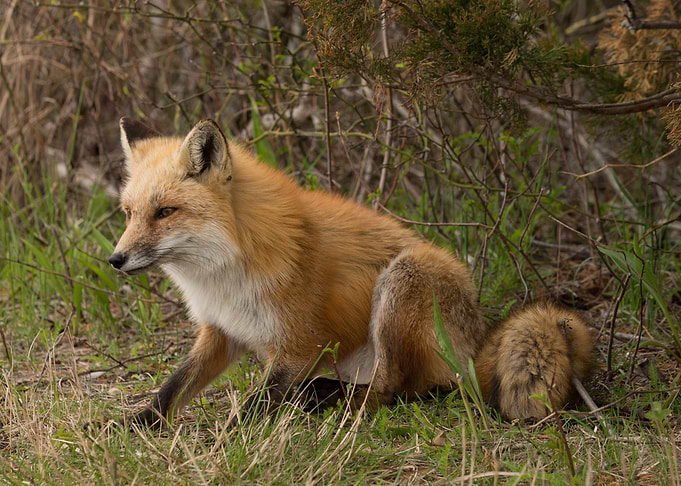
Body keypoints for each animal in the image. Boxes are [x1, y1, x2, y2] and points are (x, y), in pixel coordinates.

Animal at [109, 117, 593, 426]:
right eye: (129, 214)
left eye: (165, 212)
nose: (116, 260)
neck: (224, 272)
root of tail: (477, 341)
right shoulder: (221, 330)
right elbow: (172, 388)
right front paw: (132, 425)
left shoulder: (299, 345)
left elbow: (251, 407)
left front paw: (226, 440)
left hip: (401, 281)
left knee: (392, 390)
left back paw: (332, 407)